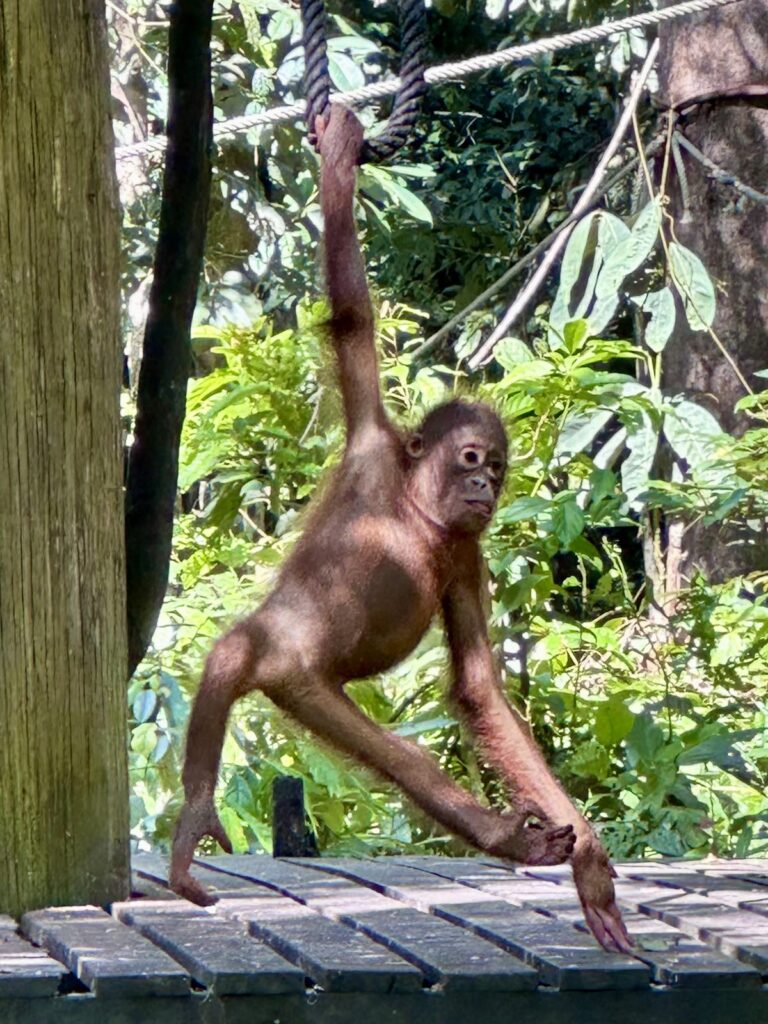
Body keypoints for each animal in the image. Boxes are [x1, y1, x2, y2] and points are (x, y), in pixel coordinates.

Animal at [170, 103, 631, 954]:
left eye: (499, 471)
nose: (483, 485)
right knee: (235, 651)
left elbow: (478, 688)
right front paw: (341, 153)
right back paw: (194, 815)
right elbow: (354, 317)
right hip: (293, 666)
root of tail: (283, 668)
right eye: (472, 457)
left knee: (401, 760)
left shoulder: (467, 552)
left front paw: (591, 866)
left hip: (307, 687)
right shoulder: (371, 445)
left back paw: (517, 840)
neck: (414, 510)